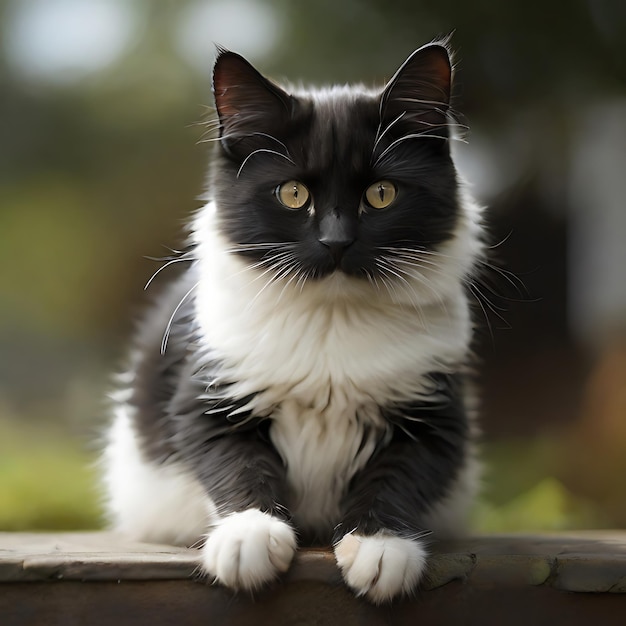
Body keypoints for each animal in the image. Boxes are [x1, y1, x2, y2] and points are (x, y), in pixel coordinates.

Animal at [102, 40, 482, 604]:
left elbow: (400, 474)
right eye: (293, 194)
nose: (336, 241)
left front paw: (380, 547)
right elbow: (235, 463)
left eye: (382, 194)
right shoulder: (207, 394)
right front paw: (248, 537)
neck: (331, 321)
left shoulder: (435, 409)